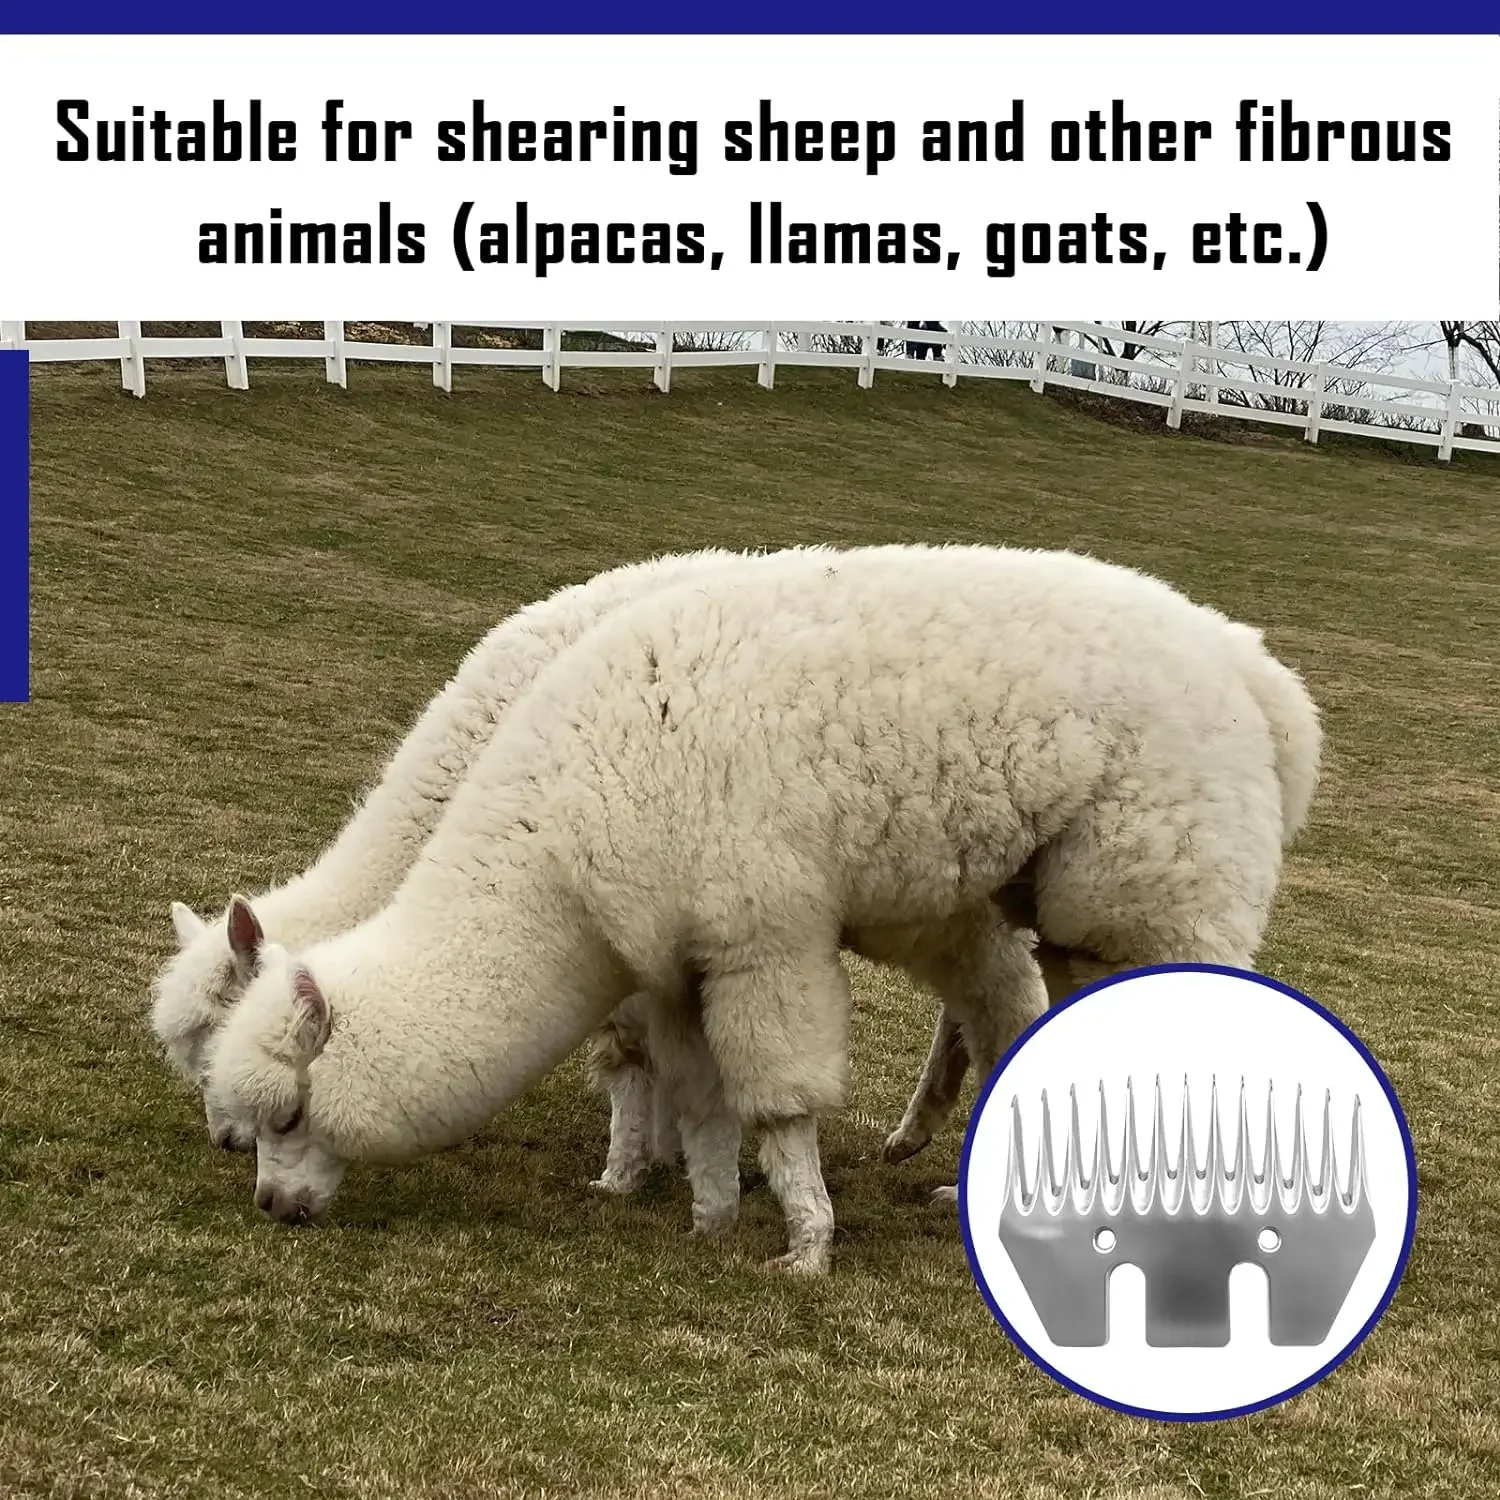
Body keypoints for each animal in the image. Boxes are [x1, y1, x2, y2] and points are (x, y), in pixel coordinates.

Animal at [203, 543, 1316, 1274]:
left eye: (290, 1112)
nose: (268, 1200)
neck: (560, 845)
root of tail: (1264, 680)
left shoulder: (759, 930)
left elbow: (777, 1098)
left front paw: (805, 1244)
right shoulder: (671, 953)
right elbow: (695, 1096)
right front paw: (704, 1213)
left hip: (1156, 882)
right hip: (1058, 895)